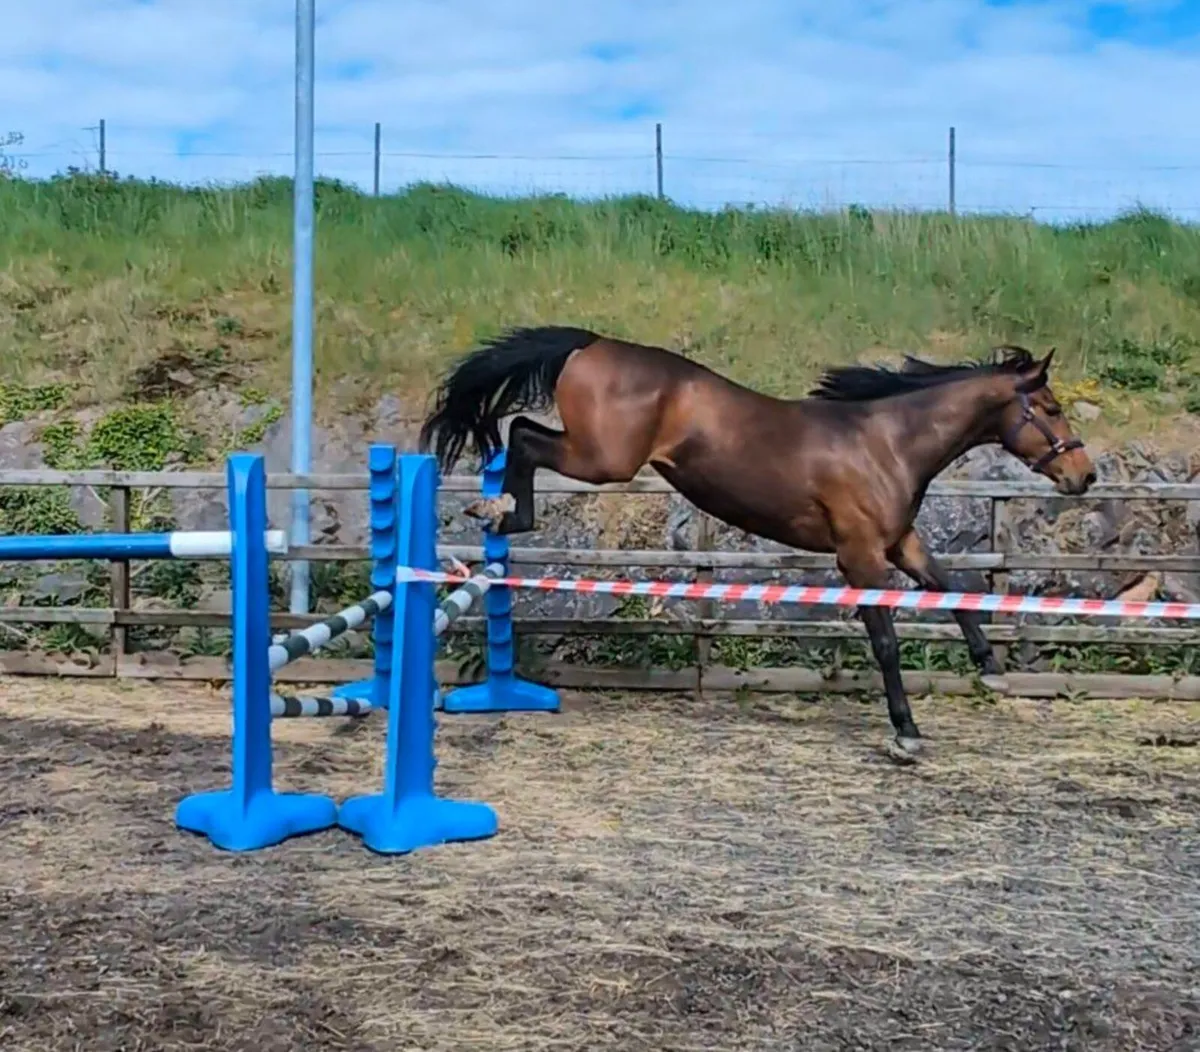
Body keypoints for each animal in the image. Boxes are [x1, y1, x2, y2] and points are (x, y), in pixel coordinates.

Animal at [417, 325, 1096, 763]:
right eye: (1049, 408)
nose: (1083, 476)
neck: (886, 443)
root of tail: (590, 344)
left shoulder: (899, 544)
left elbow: (954, 589)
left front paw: (991, 671)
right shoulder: (860, 558)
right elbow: (887, 644)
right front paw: (906, 735)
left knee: (521, 432)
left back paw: (500, 512)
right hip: (603, 457)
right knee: (522, 434)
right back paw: (501, 509)